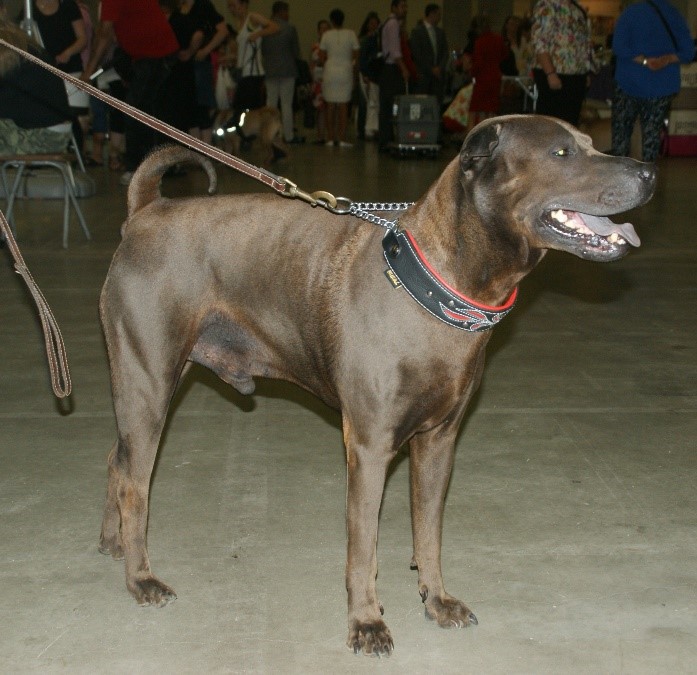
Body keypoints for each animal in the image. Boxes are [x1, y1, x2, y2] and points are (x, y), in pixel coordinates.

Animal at [98, 116, 652, 656]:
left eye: (590, 142)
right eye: (561, 153)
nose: (648, 172)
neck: (436, 283)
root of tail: (147, 211)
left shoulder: (438, 443)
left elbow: (428, 532)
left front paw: (436, 598)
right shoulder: (368, 447)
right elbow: (363, 546)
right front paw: (365, 621)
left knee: (118, 462)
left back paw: (113, 541)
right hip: (149, 384)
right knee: (135, 484)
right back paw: (140, 576)